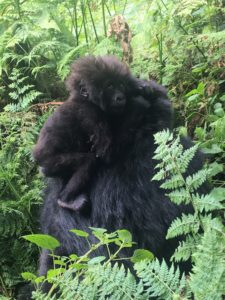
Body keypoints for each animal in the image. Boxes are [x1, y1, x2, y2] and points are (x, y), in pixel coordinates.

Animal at [33, 55, 149, 212]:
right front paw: (138, 106)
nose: (121, 97)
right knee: (87, 161)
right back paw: (66, 200)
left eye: (121, 85)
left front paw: (137, 86)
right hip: (50, 162)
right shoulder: (90, 114)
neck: (84, 99)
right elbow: (106, 153)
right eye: (109, 86)